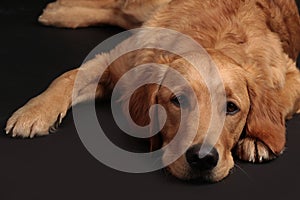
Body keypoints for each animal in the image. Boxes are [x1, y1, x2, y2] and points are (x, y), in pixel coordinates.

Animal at [5, 0, 300, 182]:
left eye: (231, 108)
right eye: (177, 100)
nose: (202, 158)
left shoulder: (292, 72)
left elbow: (280, 100)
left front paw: (257, 139)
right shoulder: (115, 62)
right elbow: (67, 77)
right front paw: (35, 111)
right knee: (120, 7)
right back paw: (60, 12)